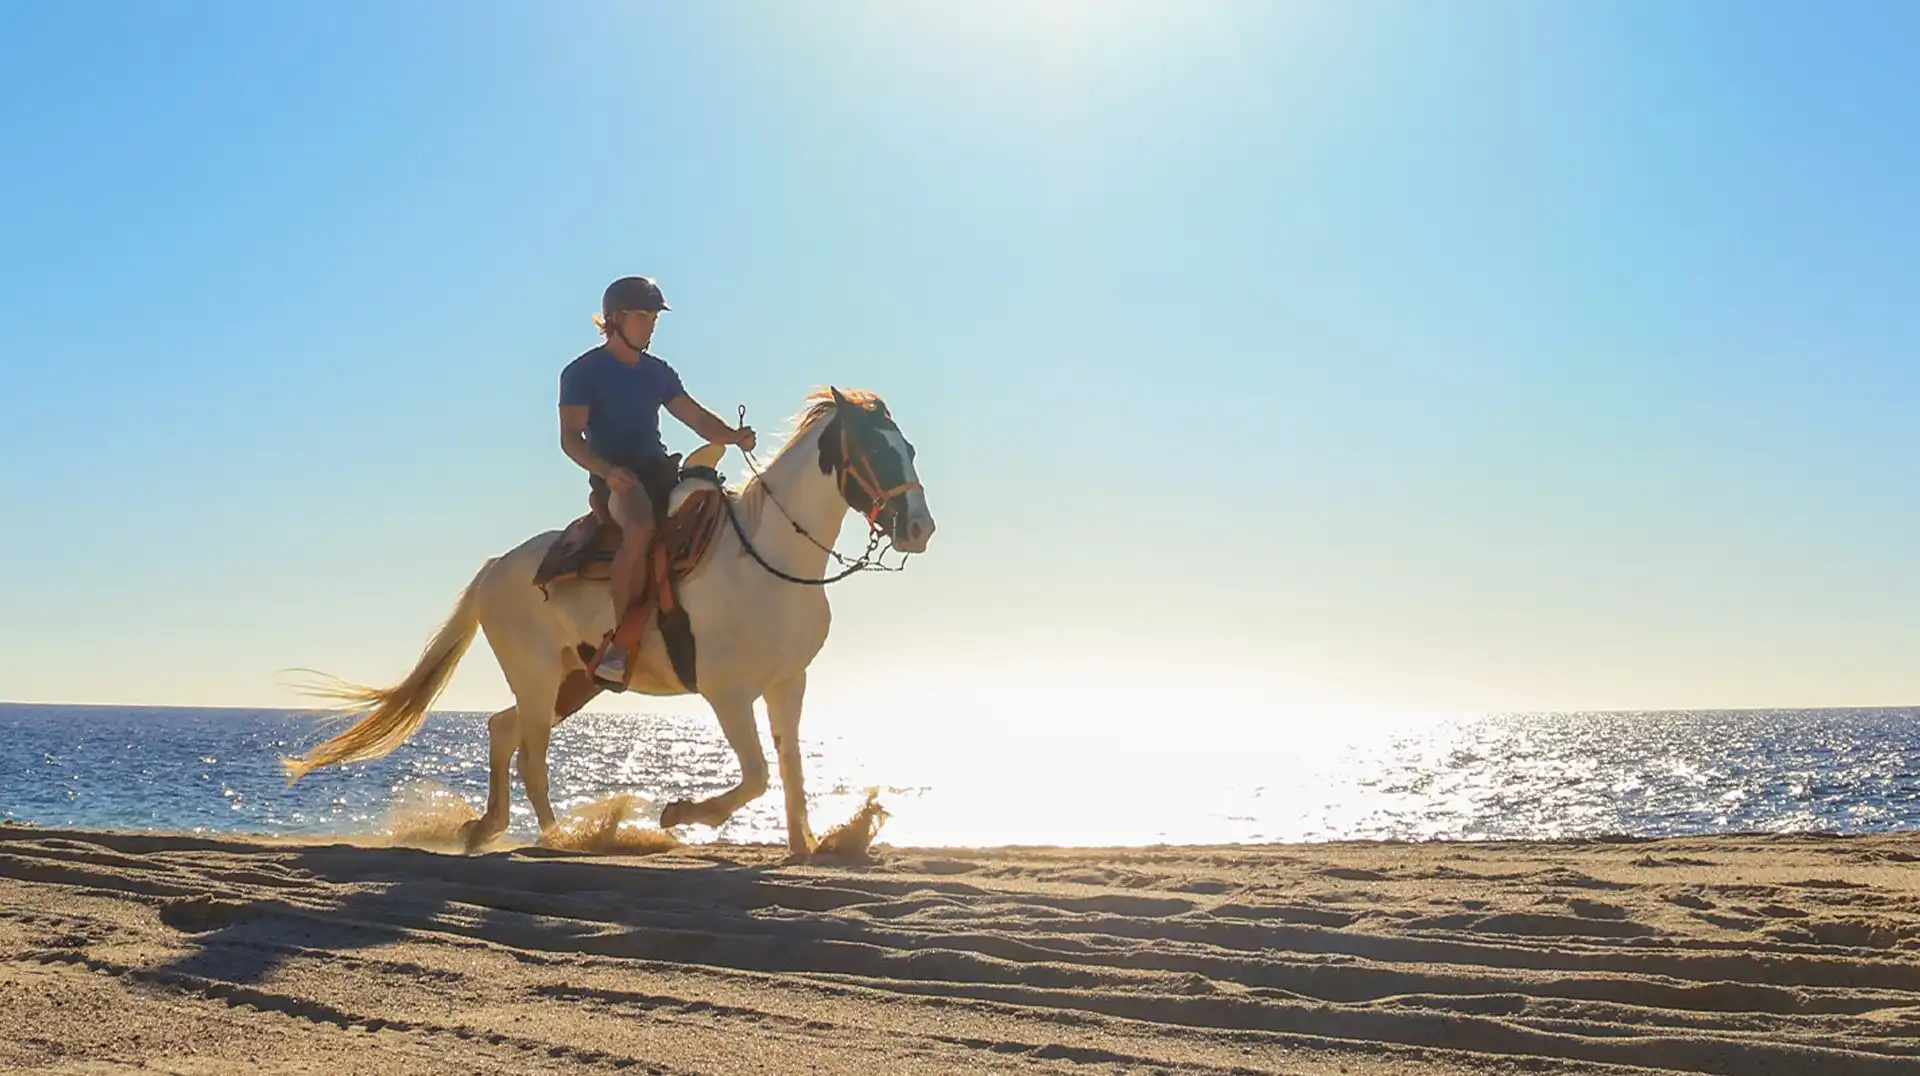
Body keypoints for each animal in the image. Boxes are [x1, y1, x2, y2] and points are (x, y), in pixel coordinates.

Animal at [281, 387, 934, 857]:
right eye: (878, 451)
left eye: (909, 448)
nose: (919, 528)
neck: (767, 558)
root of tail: (496, 568)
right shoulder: (727, 691)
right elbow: (755, 775)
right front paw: (679, 812)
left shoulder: (787, 683)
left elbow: (791, 770)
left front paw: (805, 845)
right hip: (539, 677)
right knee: (531, 754)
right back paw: (559, 838)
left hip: (575, 681)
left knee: (501, 729)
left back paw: (490, 826)